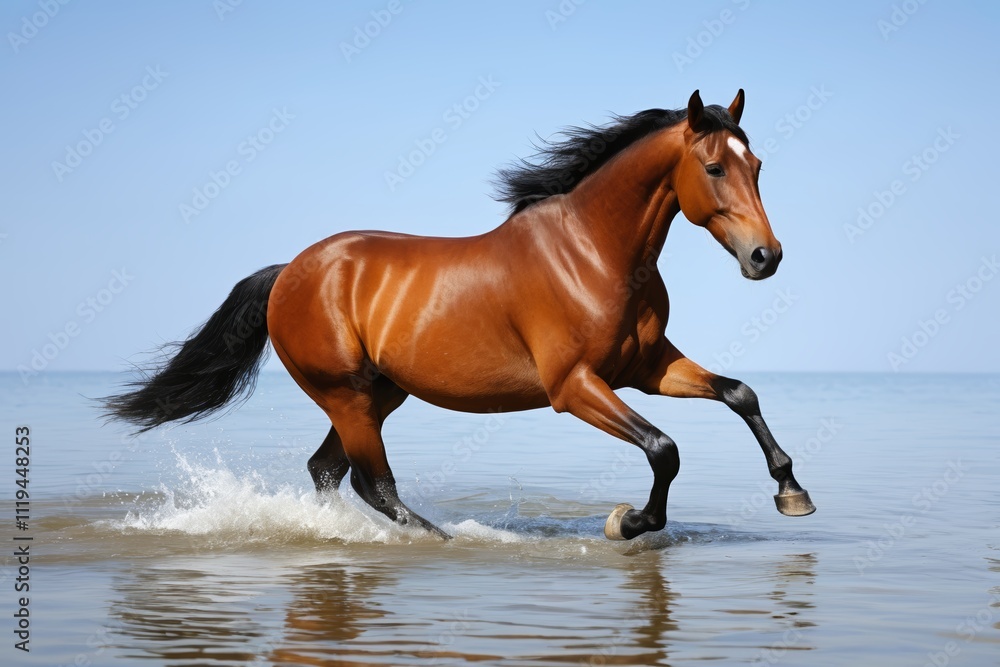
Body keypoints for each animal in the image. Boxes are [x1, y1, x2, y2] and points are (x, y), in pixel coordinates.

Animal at [104, 89, 815, 541]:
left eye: (757, 165)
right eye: (714, 166)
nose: (766, 257)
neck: (594, 253)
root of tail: (290, 272)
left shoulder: (646, 367)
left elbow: (739, 394)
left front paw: (791, 492)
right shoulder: (575, 387)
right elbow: (664, 448)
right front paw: (629, 522)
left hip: (379, 395)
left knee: (329, 471)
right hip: (348, 396)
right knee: (373, 484)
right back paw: (445, 539)